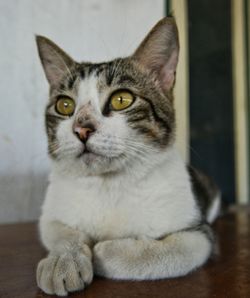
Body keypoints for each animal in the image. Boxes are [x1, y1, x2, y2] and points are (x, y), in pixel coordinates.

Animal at [35, 17, 221, 296]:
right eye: (64, 105)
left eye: (121, 99)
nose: (81, 129)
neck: (109, 184)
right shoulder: (51, 214)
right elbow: (63, 232)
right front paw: (64, 259)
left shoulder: (199, 235)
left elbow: (171, 251)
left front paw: (105, 251)